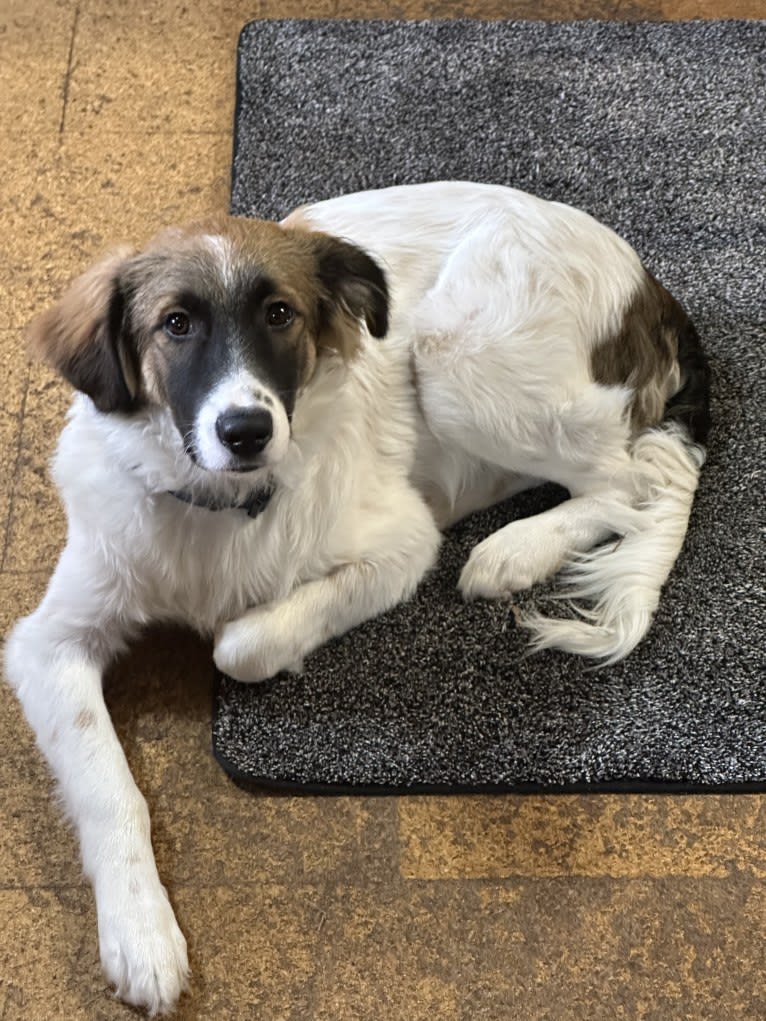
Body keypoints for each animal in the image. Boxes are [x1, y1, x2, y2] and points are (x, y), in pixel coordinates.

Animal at [6, 179, 714, 1008]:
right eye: (174, 324)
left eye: (280, 314)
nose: (246, 430)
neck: (219, 503)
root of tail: (648, 283)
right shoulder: (49, 640)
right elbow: (108, 784)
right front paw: (140, 932)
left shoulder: (404, 545)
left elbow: (241, 643)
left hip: (457, 356)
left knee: (627, 481)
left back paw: (513, 549)